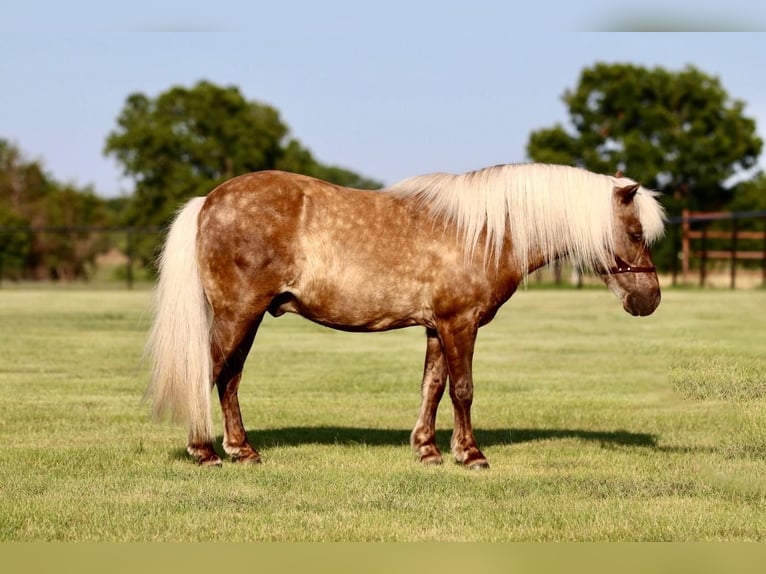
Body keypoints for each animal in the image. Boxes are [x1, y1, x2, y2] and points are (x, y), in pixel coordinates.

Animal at [144, 164, 664, 470]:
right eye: (636, 232)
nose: (650, 299)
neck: (485, 232)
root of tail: (208, 202)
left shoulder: (437, 327)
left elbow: (431, 387)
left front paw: (428, 450)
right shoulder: (459, 324)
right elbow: (463, 389)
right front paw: (471, 455)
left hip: (246, 319)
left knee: (229, 379)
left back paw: (242, 450)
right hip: (238, 314)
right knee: (210, 372)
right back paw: (204, 452)